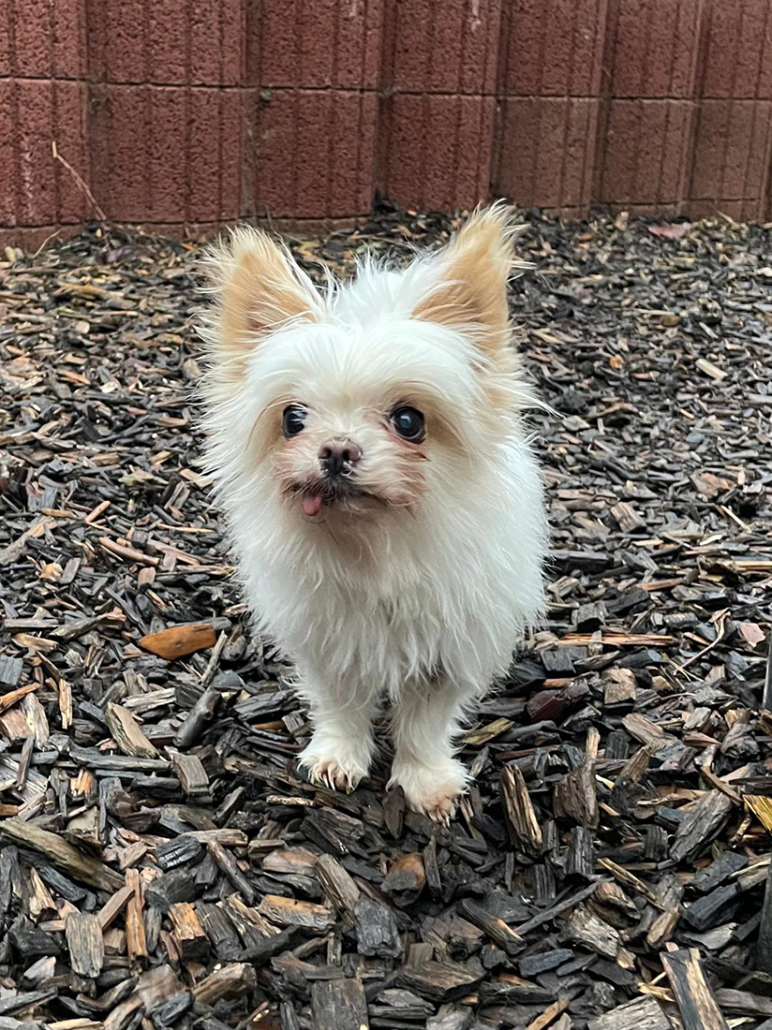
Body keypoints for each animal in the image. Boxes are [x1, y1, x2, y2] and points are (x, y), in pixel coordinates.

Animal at [198, 206, 547, 822]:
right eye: (292, 418)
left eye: (409, 421)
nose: (337, 450)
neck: (376, 546)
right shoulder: (330, 642)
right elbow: (341, 705)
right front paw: (338, 758)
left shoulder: (447, 654)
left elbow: (425, 725)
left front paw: (426, 783)